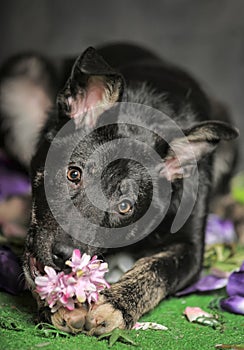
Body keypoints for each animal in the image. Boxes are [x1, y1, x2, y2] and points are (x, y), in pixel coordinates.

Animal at [0, 43, 238, 334]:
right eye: (73, 174)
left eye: (125, 207)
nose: (66, 258)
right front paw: (60, 302)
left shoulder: (191, 249)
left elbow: (158, 268)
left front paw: (117, 303)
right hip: (20, 75)